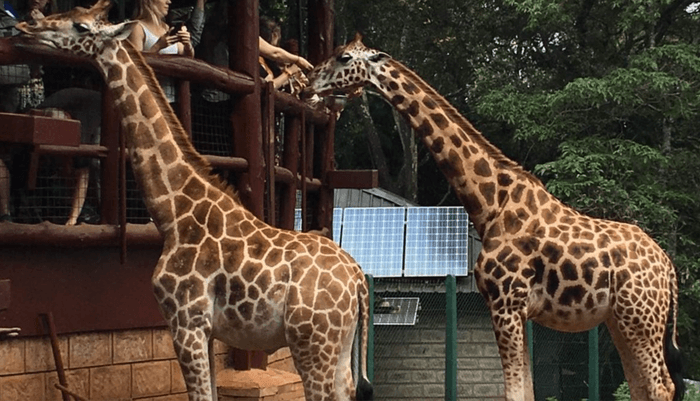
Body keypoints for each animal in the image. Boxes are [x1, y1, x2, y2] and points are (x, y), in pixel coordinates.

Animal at [16, 4, 374, 401]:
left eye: (80, 26)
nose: (28, 26)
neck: (174, 212)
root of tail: (358, 280)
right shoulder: (207, 330)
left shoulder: (186, 322)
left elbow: (199, 394)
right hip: (340, 345)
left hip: (312, 341)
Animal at [303, 34, 684, 401]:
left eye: (344, 57)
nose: (310, 82)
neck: (490, 204)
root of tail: (668, 268)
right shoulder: (516, 310)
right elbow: (526, 390)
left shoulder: (506, 304)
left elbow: (515, 391)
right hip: (623, 320)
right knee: (642, 386)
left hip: (640, 319)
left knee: (661, 386)